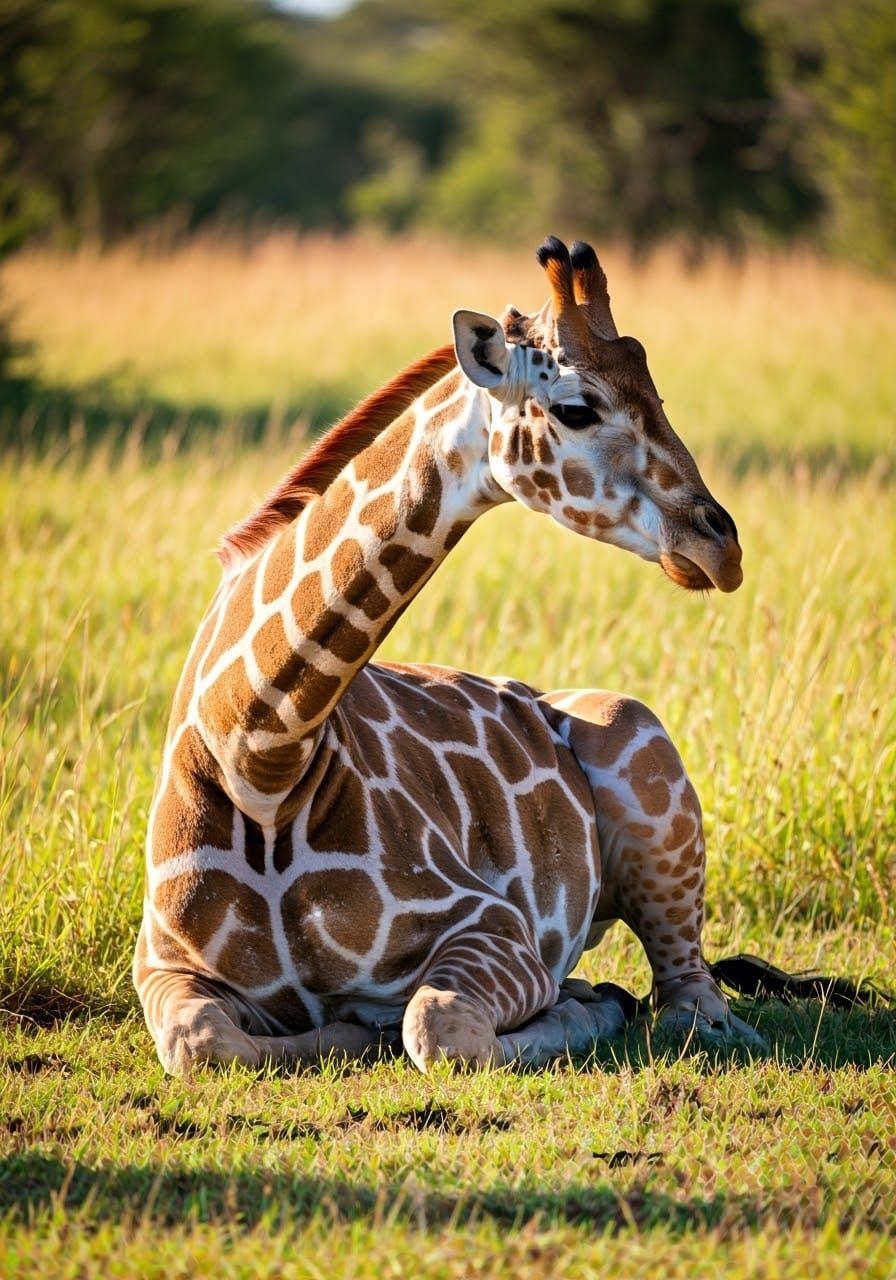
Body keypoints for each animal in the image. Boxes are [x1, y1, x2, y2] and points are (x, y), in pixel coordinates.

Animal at [134, 236, 765, 1075]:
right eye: (578, 406)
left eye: (659, 395)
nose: (720, 545)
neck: (261, 751)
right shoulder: (161, 963)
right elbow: (206, 1040)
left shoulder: (497, 927)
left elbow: (438, 1026)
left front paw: (566, 1013)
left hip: (648, 770)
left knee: (689, 997)